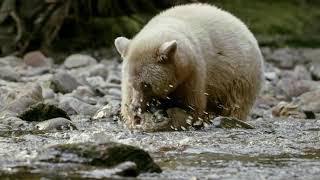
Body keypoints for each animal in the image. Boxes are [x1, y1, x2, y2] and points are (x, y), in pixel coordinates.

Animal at [114, 3, 264, 131]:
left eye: (146, 85)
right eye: (131, 83)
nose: (136, 106)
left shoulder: (193, 72)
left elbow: (191, 108)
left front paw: (165, 120)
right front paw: (138, 118)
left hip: (239, 77)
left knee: (235, 104)